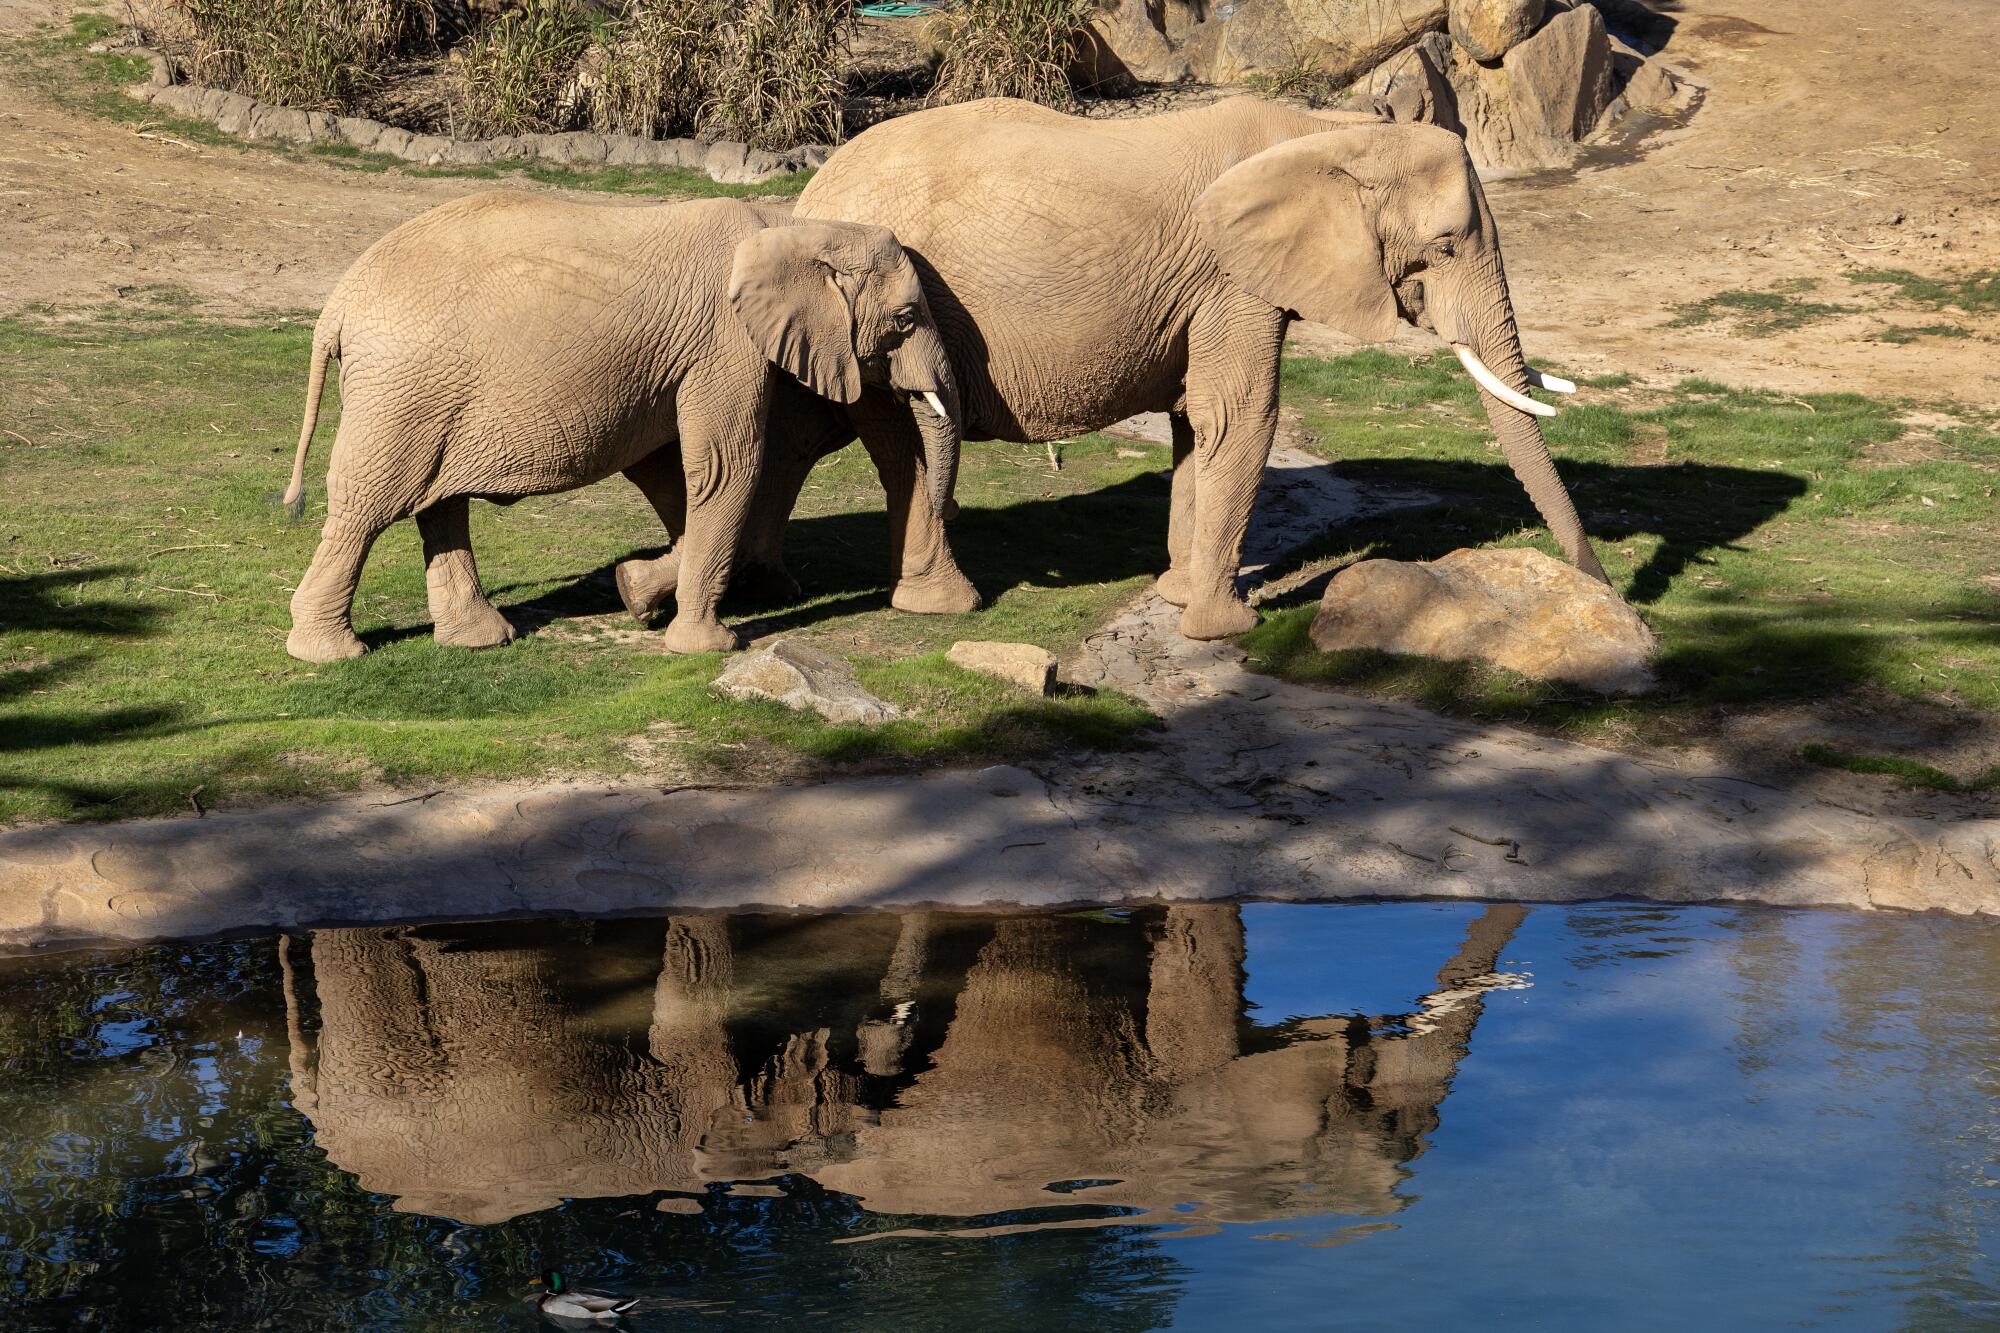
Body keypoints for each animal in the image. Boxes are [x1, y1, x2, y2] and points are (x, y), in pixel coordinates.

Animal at [278, 192, 960, 663]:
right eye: (905, 318)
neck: (792, 225)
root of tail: (338, 304)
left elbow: (670, 472)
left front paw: (636, 590)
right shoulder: (723, 343)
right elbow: (727, 467)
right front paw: (708, 646)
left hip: (427, 391)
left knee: (437, 503)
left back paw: (481, 639)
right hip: (402, 390)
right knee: (367, 505)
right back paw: (330, 654)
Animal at [668, 96, 1607, 642]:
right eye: (1444, 247)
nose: (1600, 581)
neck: (1326, 130)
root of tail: (810, 184)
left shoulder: (1206, 289)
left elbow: (1200, 419)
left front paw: (1176, 594)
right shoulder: (1231, 276)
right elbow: (1244, 412)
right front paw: (1224, 627)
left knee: (809, 434)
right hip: (879, 319)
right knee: (897, 444)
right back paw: (943, 604)